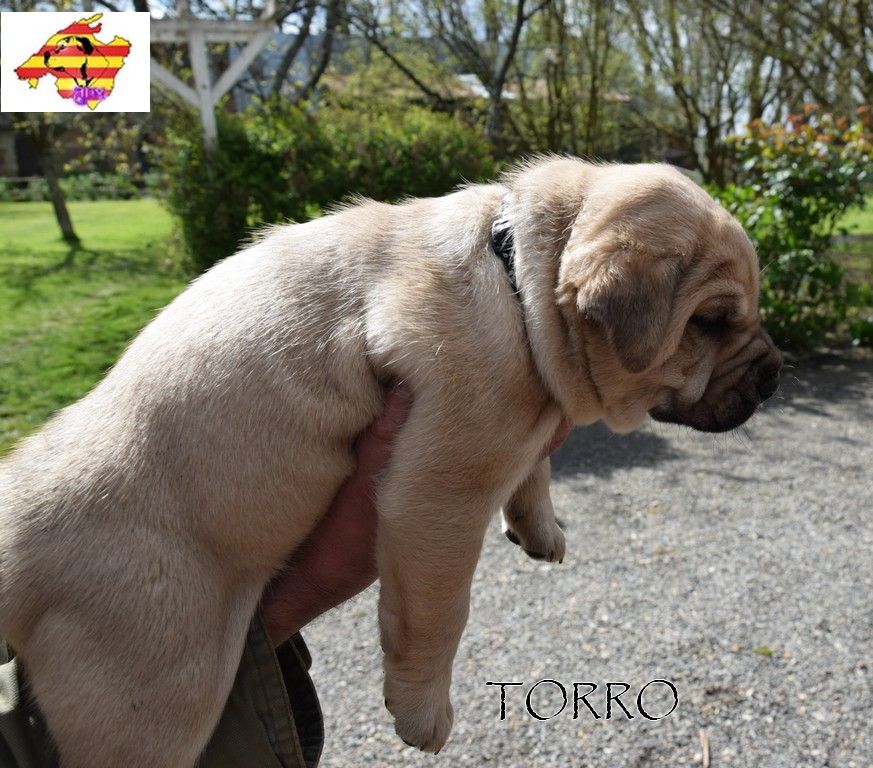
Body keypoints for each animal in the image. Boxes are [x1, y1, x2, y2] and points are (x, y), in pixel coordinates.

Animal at [0, 157, 782, 764]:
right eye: (711, 323)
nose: (775, 373)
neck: (516, 278)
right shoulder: (439, 495)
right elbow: (438, 616)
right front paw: (421, 714)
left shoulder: (527, 420)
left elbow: (532, 470)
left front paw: (540, 528)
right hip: (157, 695)